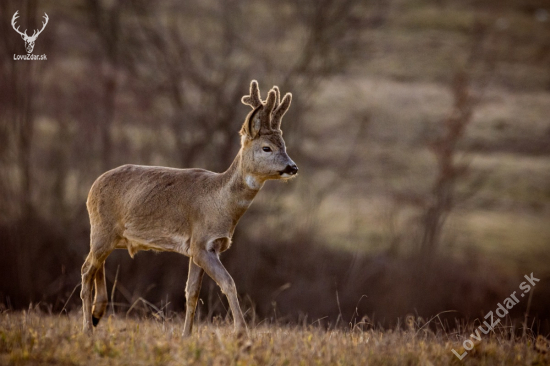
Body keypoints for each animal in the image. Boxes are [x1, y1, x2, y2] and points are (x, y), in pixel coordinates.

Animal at [80, 79, 300, 334]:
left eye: (284, 145)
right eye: (267, 148)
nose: (293, 167)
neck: (219, 203)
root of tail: (92, 187)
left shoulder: (200, 247)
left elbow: (192, 292)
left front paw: (187, 335)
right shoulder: (201, 243)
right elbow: (228, 283)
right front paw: (240, 331)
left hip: (111, 236)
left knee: (97, 265)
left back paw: (97, 315)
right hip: (102, 228)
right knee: (87, 269)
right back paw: (87, 328)